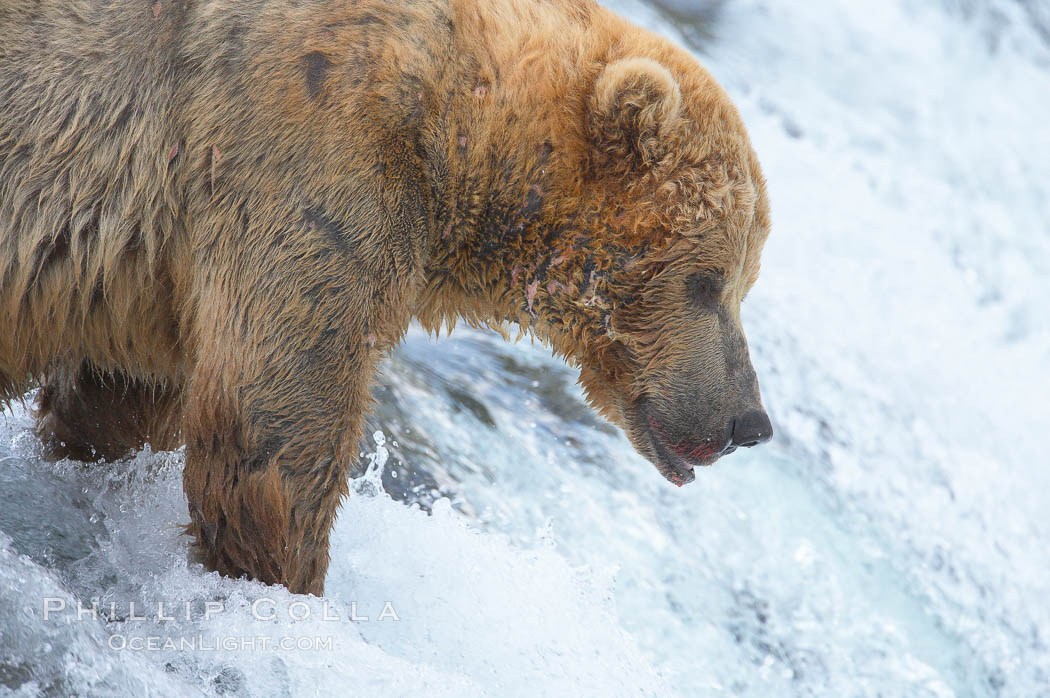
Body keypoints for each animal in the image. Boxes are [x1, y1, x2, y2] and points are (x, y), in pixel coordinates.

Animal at [0, 0, 772, 591]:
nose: (751, 422)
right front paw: (285, 582)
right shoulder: (311, 155)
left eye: (747, 280)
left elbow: (121, 400)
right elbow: (274, 421)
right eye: (707, 281)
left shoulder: (157, 266)